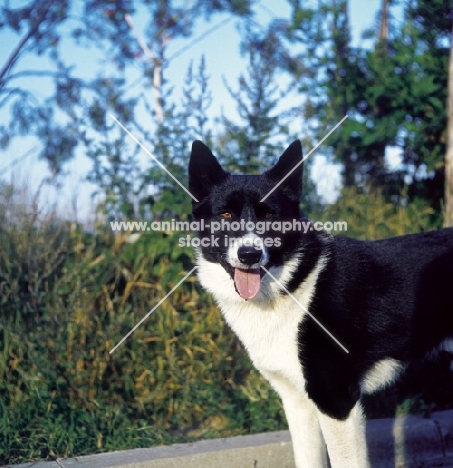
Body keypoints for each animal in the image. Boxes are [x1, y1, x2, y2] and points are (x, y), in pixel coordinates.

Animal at [186, 139, 452, 468]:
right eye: (225, 215)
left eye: (269, 216)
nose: (250, 254)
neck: (292, 284)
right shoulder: (298, 402)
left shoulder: (336, 402)